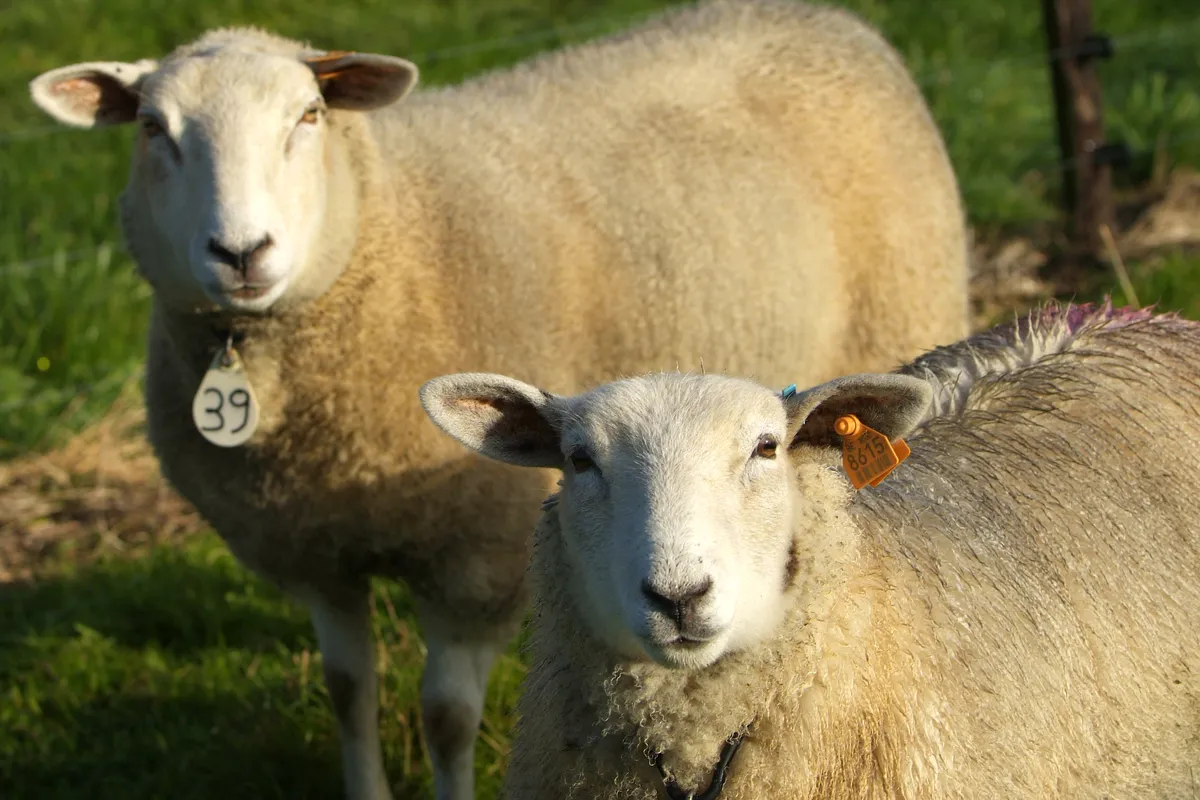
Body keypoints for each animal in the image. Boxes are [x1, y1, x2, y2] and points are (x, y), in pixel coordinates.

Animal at [27, 1, 969, 797]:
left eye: (308, 118)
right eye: (154, 129)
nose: (242, 253)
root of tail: (831, 19)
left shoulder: (475, 557)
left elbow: (445, 717)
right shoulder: (318, 551)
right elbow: (346, 688)